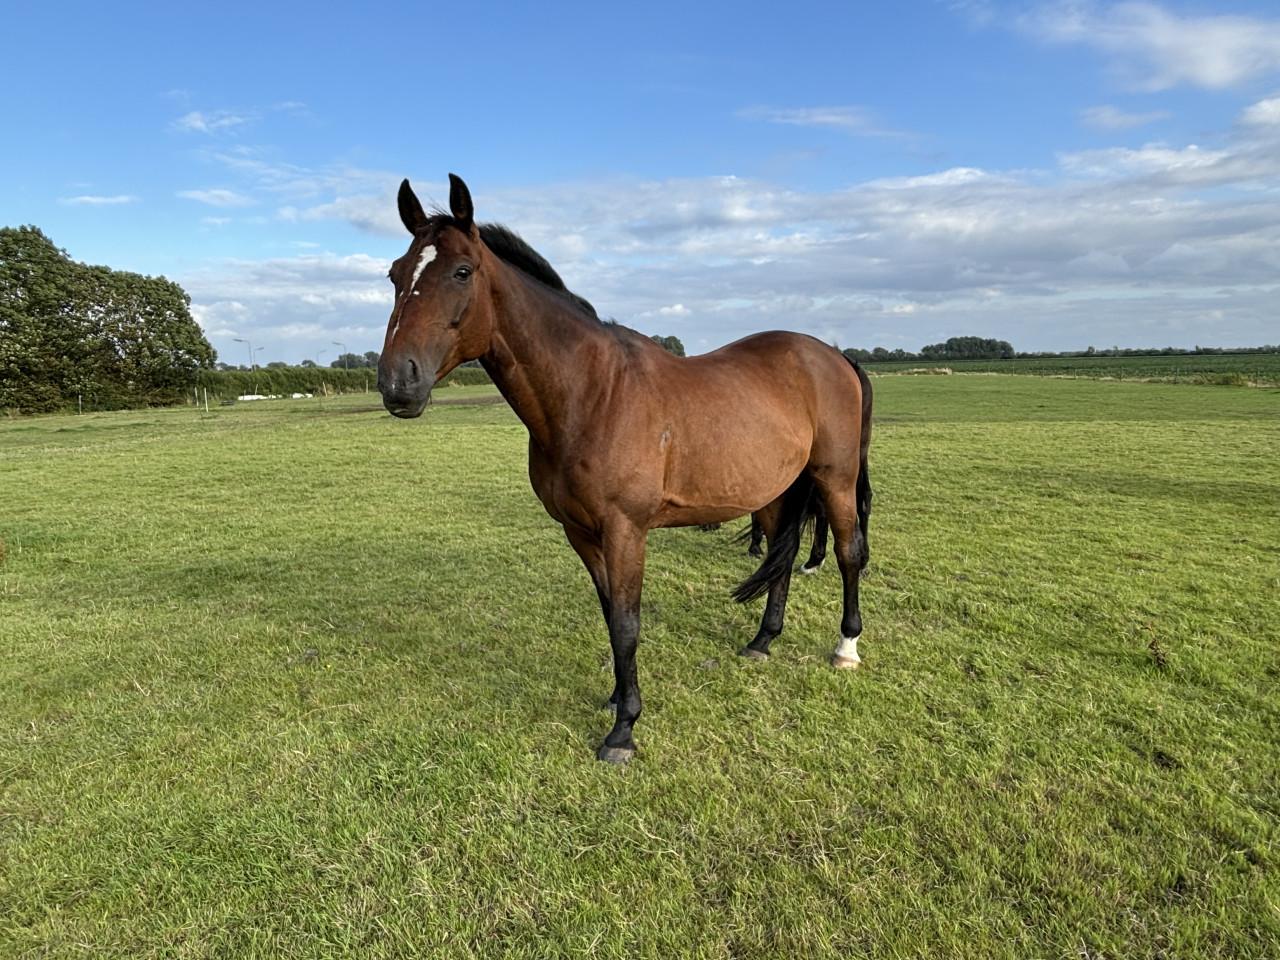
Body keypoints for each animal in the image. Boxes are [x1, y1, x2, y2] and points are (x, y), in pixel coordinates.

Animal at [378, 174, 873, 763]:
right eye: (395, 274)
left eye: (461, 271)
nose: (398, 382)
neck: (593, 395)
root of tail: (833, 355)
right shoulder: (581, 532)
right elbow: (610, 610)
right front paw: (617, 698)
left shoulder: (625, 530)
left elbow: (627, 622)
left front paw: (623, 731)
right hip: (774, 490)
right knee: (784, 551)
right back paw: (761, 641)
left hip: (834, 479)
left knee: (848, 552)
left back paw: (846, 647)